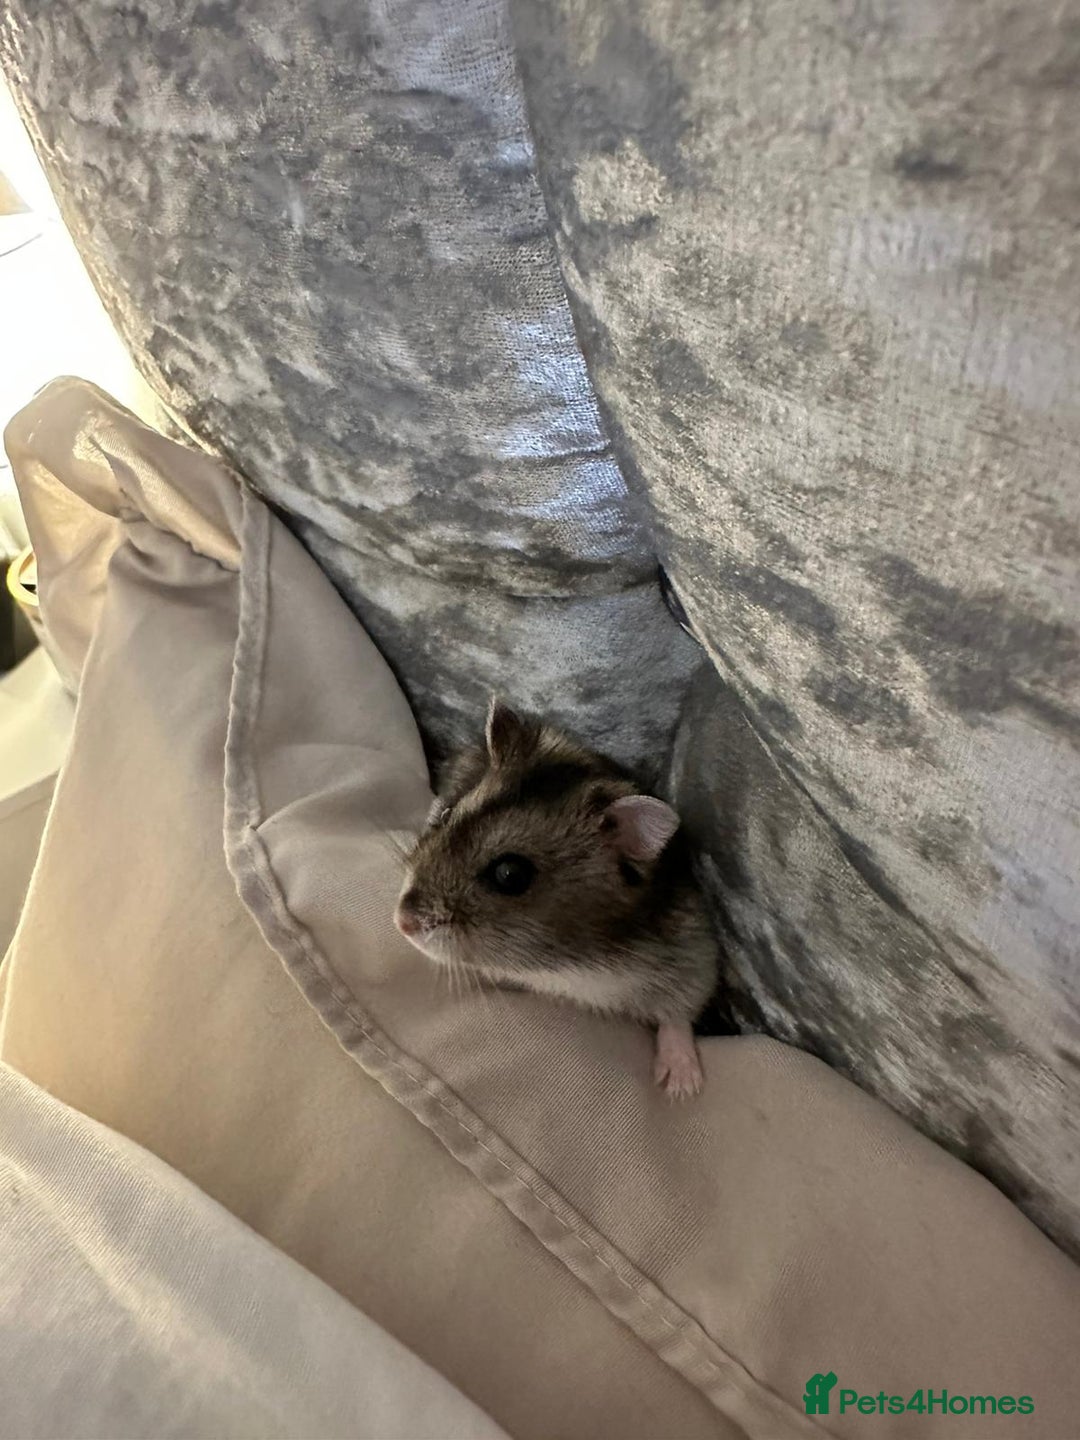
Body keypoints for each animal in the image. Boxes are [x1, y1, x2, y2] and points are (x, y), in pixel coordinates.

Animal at [394, 698, 719, 1099]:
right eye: (447, 814)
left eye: (510, 874)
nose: (401, 922)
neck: (563, 963)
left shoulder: (693, 951)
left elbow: (678, 1013)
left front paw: (682, 1089)